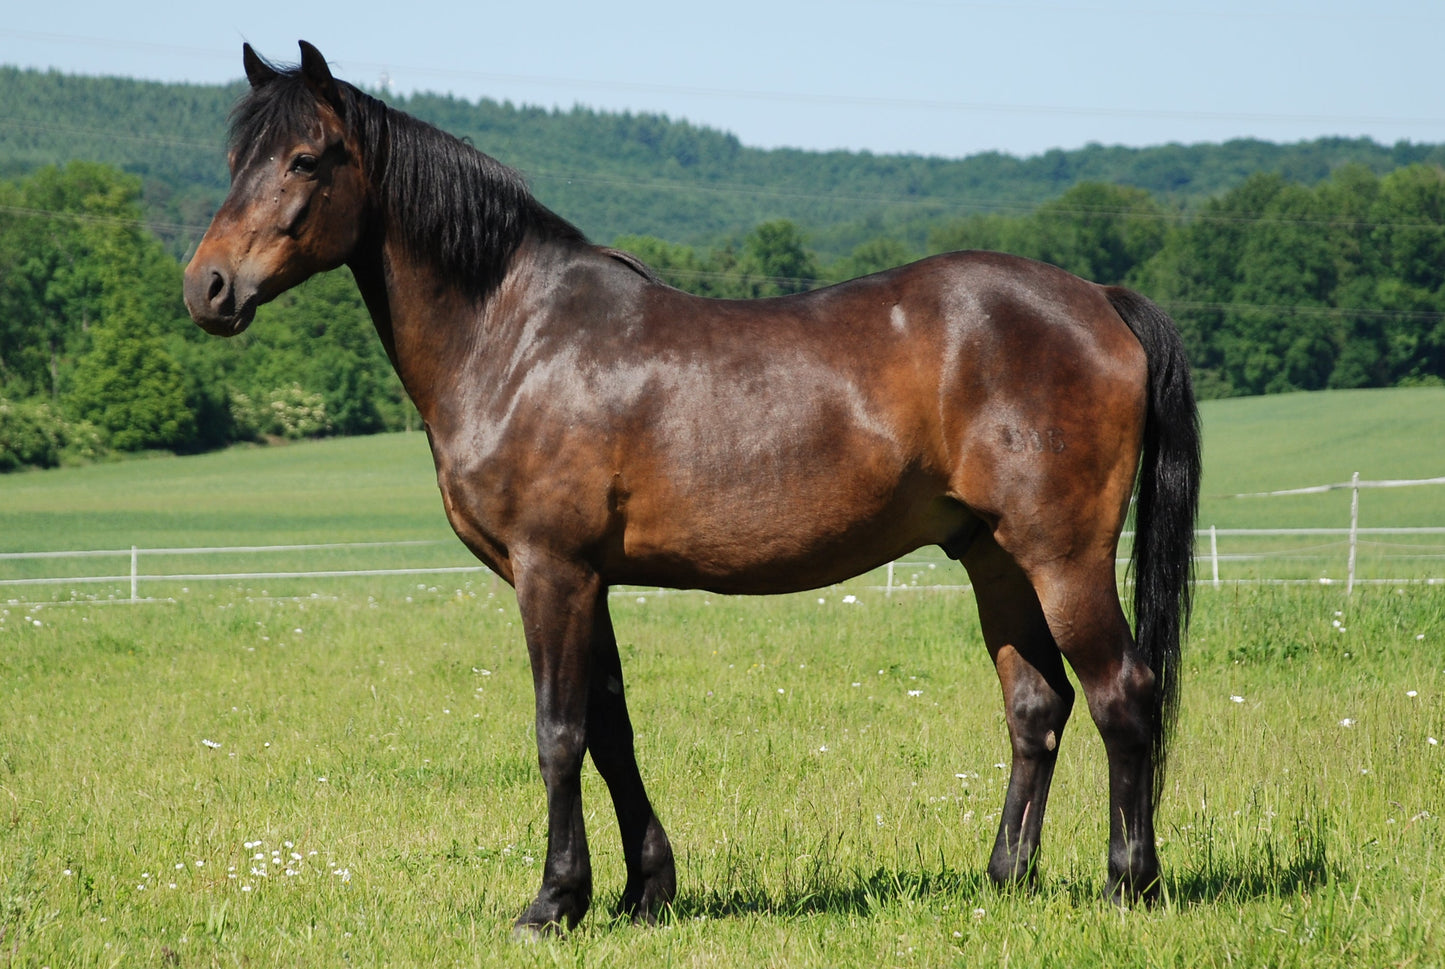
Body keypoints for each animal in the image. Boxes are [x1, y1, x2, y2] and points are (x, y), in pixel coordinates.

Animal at [184, 41, 1201, 934]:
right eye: (236, 160)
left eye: (306, 159)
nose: (208, 288)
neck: (517, 336)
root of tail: (1100, 299)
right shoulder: (588, 578)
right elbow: (610, 727)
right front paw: (643, 891)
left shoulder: (549, 570)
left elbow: (559, 732)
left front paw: (551, 902)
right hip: (992, 556)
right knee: (1037, 706)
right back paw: (1004, 878)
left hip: (1062, 556)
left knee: (1120, 693)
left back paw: (1129, 884)